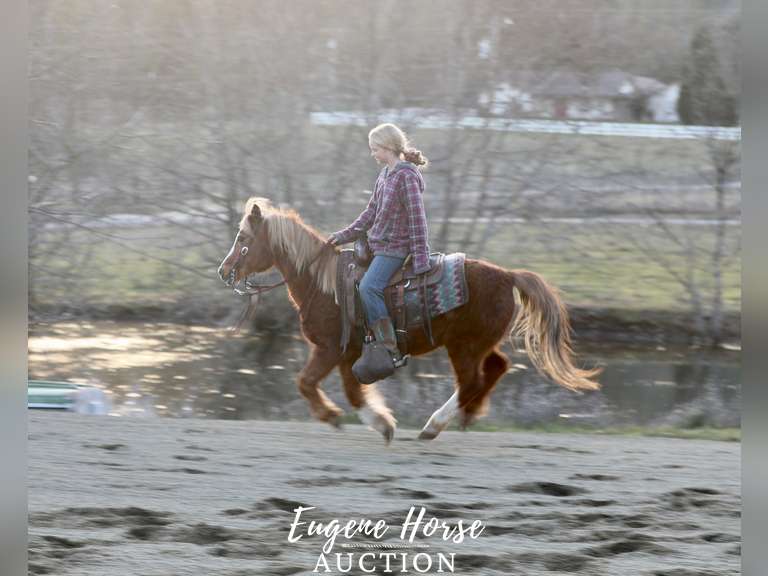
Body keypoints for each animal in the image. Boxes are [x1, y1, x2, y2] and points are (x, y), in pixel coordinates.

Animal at [217, 197, 601, 443]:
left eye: (243, 238)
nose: (224, 271)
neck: (323, 284)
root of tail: (507, 276)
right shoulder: (349, 354)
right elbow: (353, 392)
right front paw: (381, 423)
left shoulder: (329, 349)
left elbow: (307, 383)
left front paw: (335, 417)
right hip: (478, 344)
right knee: (496, 368)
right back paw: (467, 415)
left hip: (463, 347)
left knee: (472, 381)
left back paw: (435, 425)